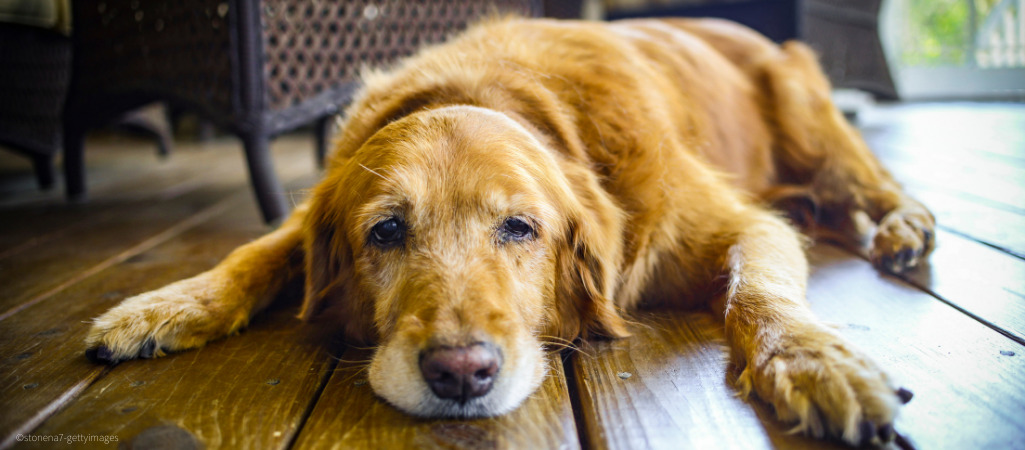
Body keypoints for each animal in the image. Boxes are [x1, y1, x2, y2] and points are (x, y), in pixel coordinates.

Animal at [88, 16, 934, 446]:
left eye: (520, 228)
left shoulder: (741, 224)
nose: (460, 373)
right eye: (385, 233)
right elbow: (254, 252)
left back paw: (902, 227)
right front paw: (162, 306)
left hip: (806, 111)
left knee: (870, 181)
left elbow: (758, 294)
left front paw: (814, 362)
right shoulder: (312, 210)